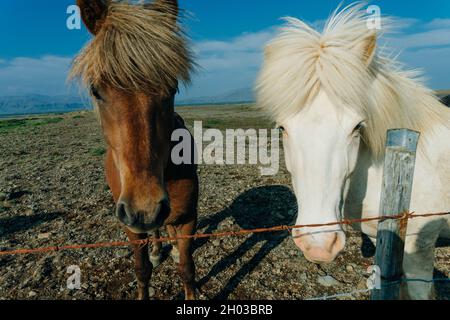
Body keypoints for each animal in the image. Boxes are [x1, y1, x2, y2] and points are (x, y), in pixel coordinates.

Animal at [70, 0, 197, 300]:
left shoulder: (189, 219)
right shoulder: (130, 226)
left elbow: (187, 267)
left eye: (173, 87)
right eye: (95, 90)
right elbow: (142, 270)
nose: (144, 209)